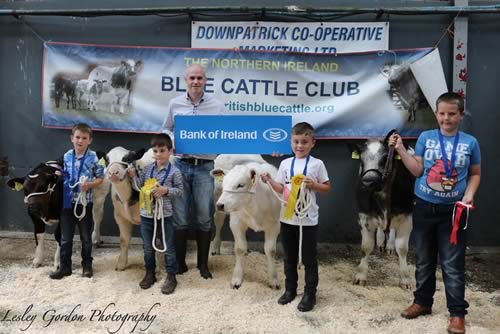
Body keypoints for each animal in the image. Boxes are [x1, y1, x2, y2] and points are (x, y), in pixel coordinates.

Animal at [350, 134, 416, 288]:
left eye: (386, 158)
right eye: (361, 159)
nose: (368, 181)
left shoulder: (407, 217)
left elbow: (402, 248)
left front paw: (405, 279)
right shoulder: (363, 215)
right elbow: (366, 246)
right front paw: (361, 276)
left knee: (390, 230)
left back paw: (389, 246)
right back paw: (381, 242)